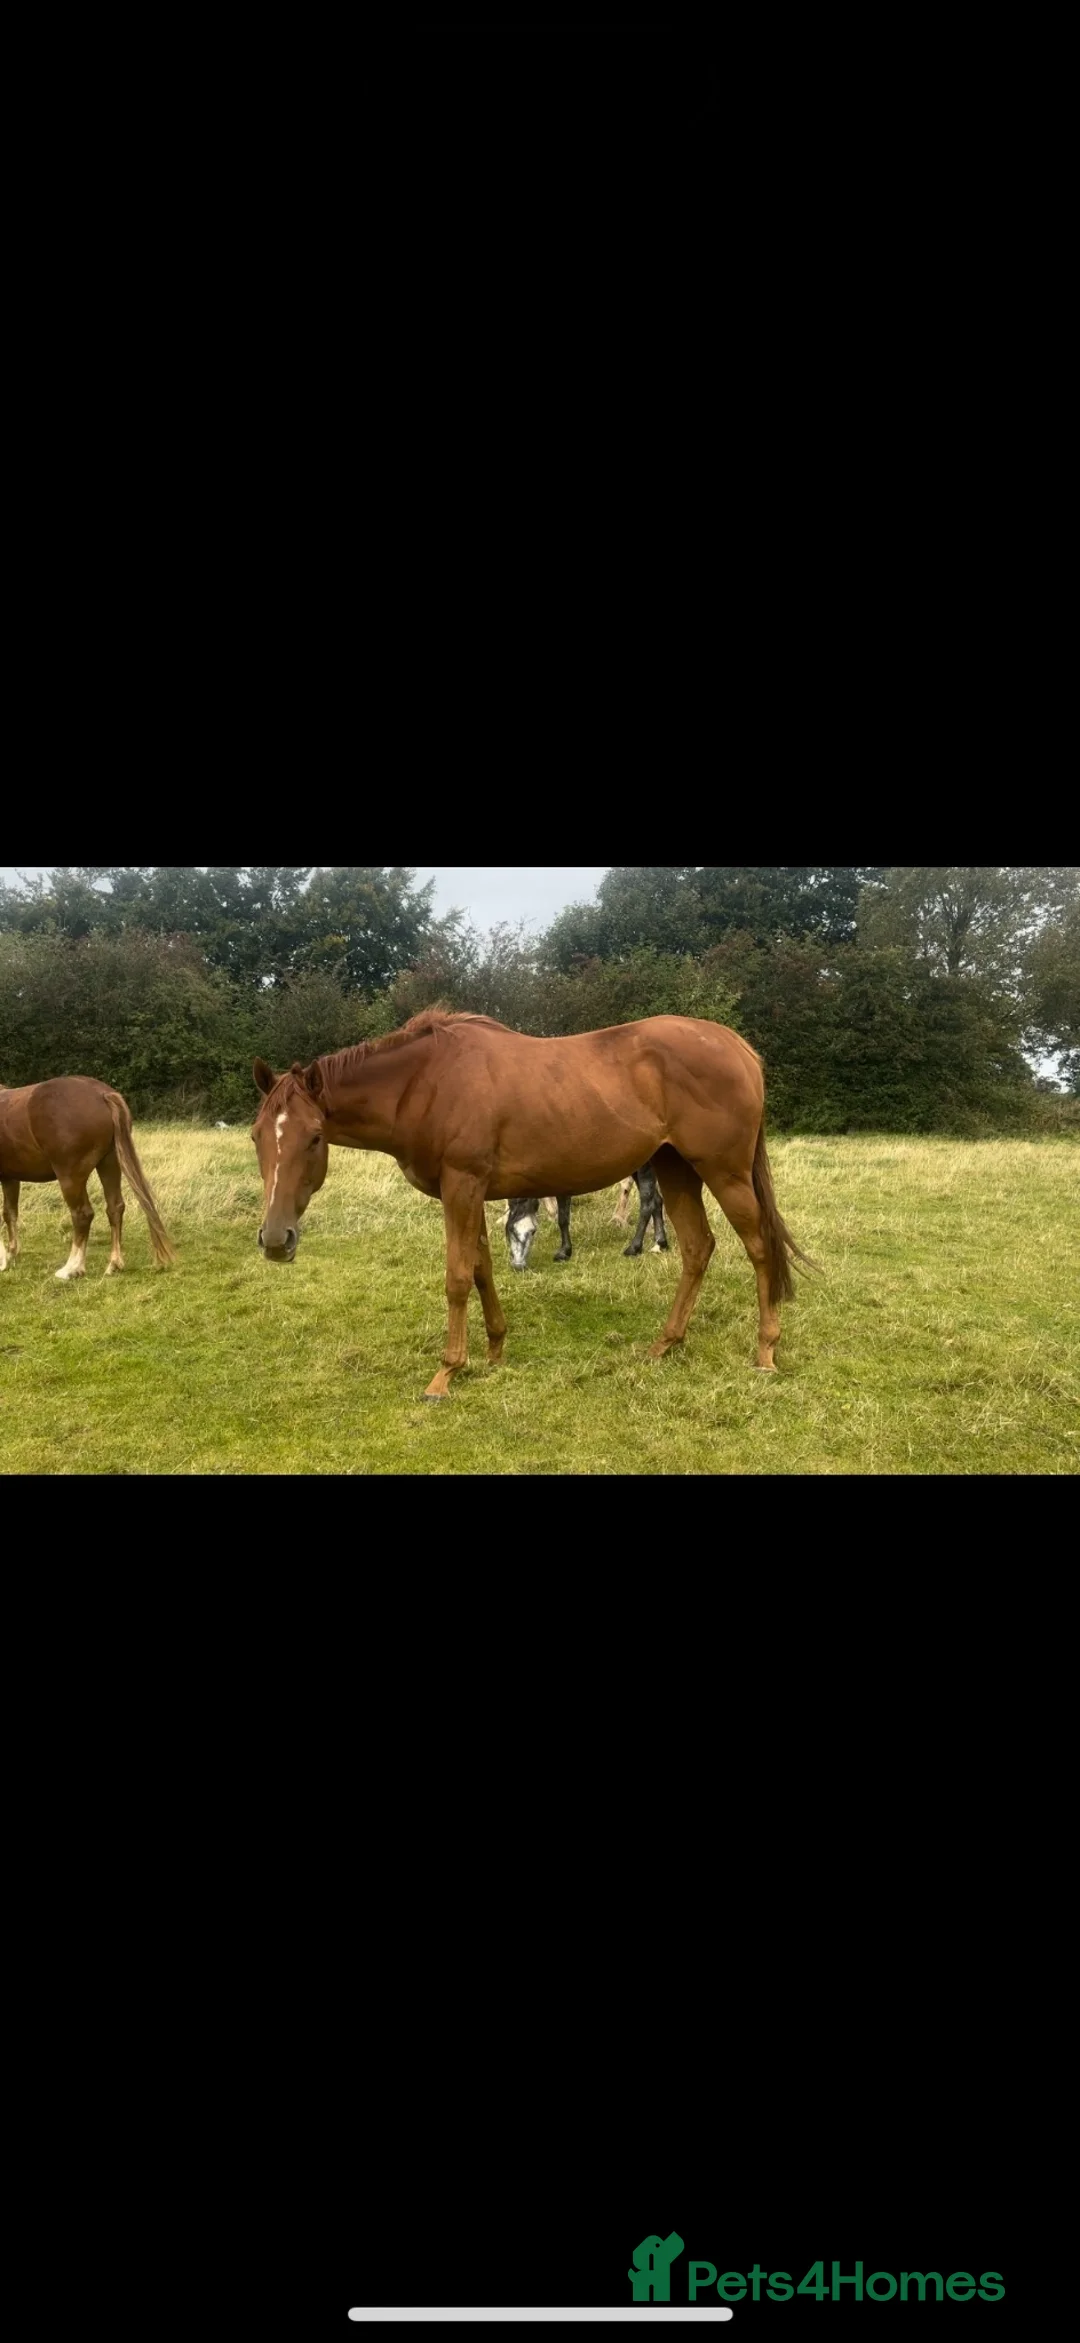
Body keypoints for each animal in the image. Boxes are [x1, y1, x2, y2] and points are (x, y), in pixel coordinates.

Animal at [0, 1078, 175, 1279]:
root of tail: (102, 1094)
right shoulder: (10, 1178)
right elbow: (9, 1213)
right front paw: (10, 1255)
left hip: (70, 1177)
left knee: (82, 1214)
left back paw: (72, 1268)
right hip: (110, 1164)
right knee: (115, 1208)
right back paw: (114, 1264)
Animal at [503, 1161, 669, 1269]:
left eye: (533, 1231)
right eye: (509, 1230)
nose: (518, 1266)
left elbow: (562, 1219)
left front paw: (564, 1252)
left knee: (647, 1205)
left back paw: (634, 1248)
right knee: (656, 1200)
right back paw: (660, 1244)